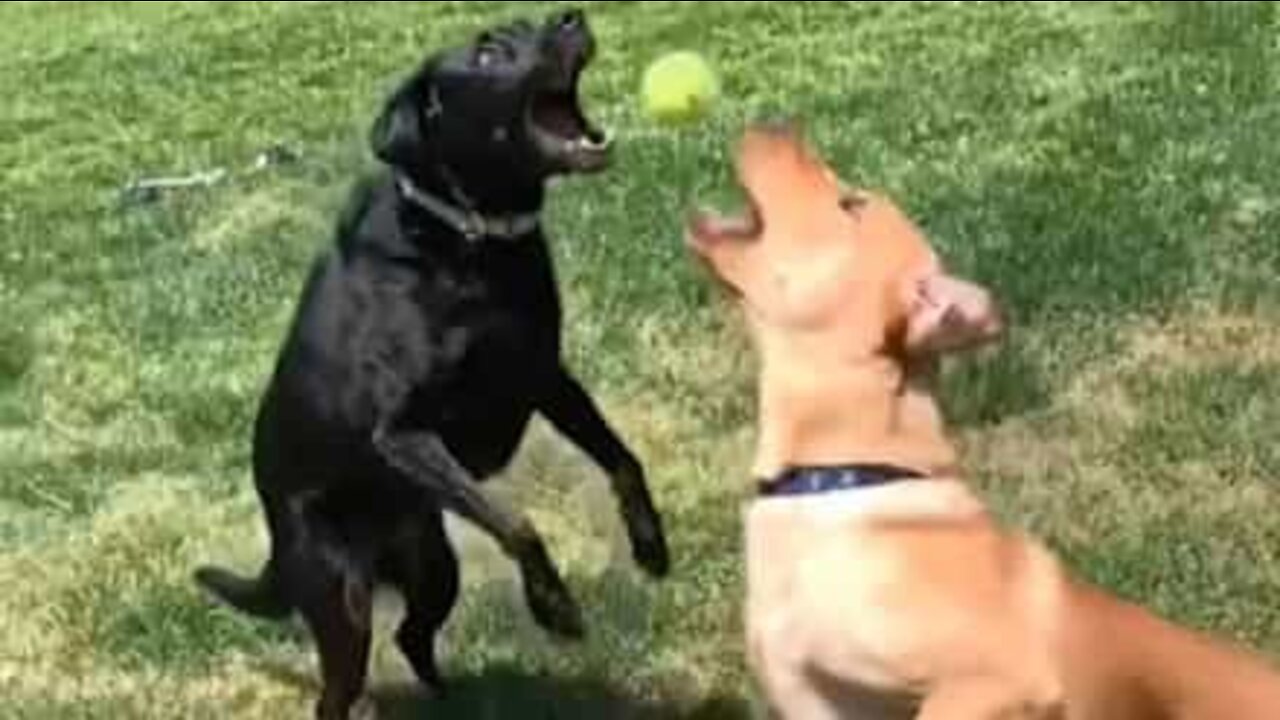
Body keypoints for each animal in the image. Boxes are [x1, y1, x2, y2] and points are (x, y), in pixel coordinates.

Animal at [197, 11, 670, 717]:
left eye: (531, 23)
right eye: (488, 52)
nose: (571, 17)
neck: (469, 238)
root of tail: (277, 542)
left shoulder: (544, 375)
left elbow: (623, 459)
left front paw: (650, 544)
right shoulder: (404, 434)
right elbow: (517, 524)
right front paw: (554, 606)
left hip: (434, 568)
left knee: (413, 636)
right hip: (342, 602)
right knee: (341, 686)